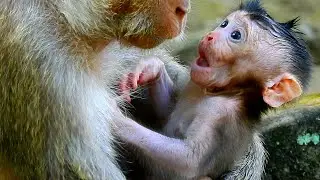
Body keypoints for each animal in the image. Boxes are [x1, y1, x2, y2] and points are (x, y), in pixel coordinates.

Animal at [116, 0, 312, 179]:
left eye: (235, 35)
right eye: (224, 24)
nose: (211, 36)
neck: (221, 92)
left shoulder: (220, 114)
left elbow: (187, 163)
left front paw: (118, 121)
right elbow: (166, 112)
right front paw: (151, 69)